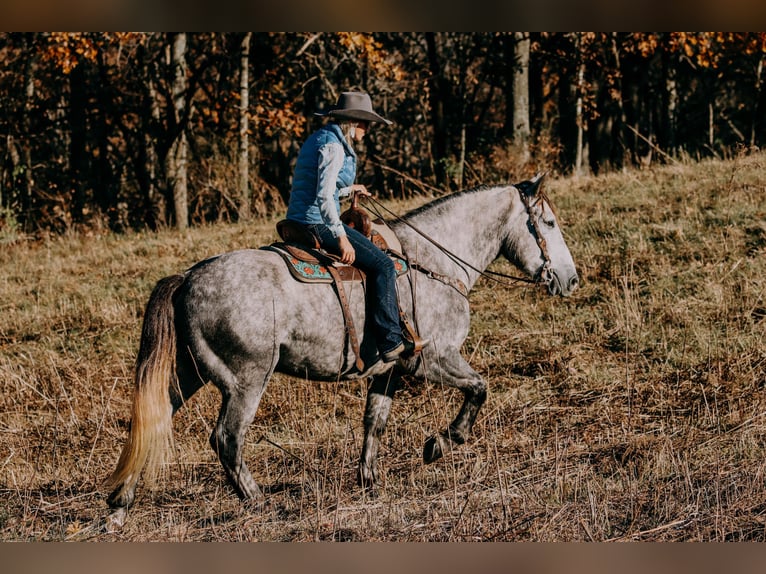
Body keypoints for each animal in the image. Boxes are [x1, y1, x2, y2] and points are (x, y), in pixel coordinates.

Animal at [103, 174, 584, 512]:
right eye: (548, 222)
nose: (571, 279)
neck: (434, 262)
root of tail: (187, 278)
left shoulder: (389, 372)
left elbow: (375, 422)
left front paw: (369, 480)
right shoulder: (433, 360)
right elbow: (479, 389)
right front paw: (441, 443)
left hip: (189, 374)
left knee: (153, 421)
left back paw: (120, 504)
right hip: (245, 382)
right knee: (227, 438)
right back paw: (257, 500)